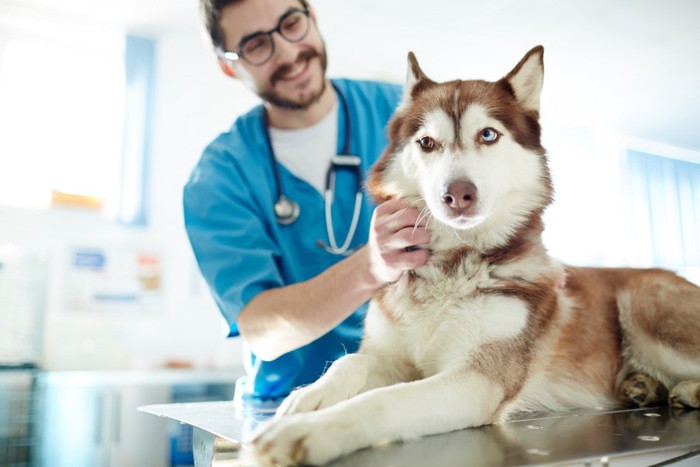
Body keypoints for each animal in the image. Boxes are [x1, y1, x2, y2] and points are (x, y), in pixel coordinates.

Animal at [252, 45, 700, 466]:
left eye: (488, 135)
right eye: (426, 142)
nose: (458, 194)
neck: (452, 265)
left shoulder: (479, 379)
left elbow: (386, 399)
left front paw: (311, 431)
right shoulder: (389, 357)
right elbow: (350, 362)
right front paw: (307, 397)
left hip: (644, 305)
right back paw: (643, 387)